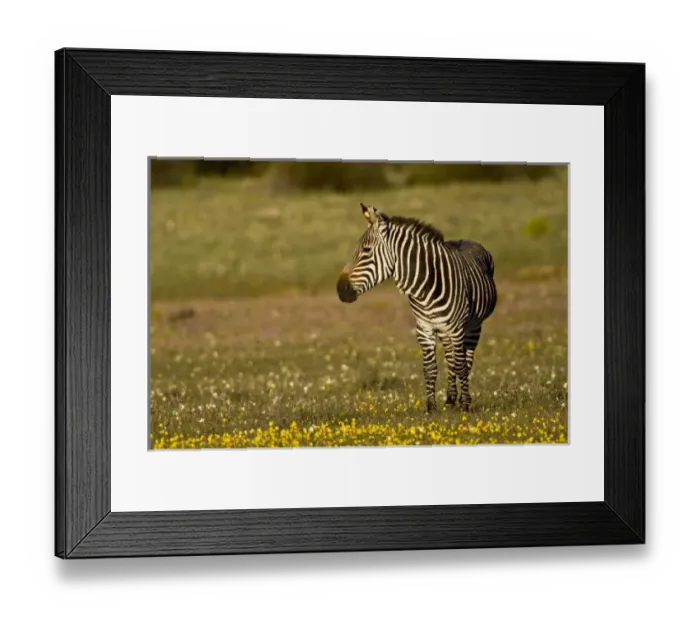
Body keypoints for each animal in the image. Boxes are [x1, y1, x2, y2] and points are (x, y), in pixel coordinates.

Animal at [337, 203, 497, 413]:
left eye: (366, 250)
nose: (340, 289)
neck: (426, 285)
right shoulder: (424, 328)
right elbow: (430, 368)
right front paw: (431, 407)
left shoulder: (457, 328)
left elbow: (462, 366)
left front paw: (466, 406)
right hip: (444, 330)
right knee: (451, 360)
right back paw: (450, 399)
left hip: (473, 326)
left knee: (465, 361)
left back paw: (462, 400)